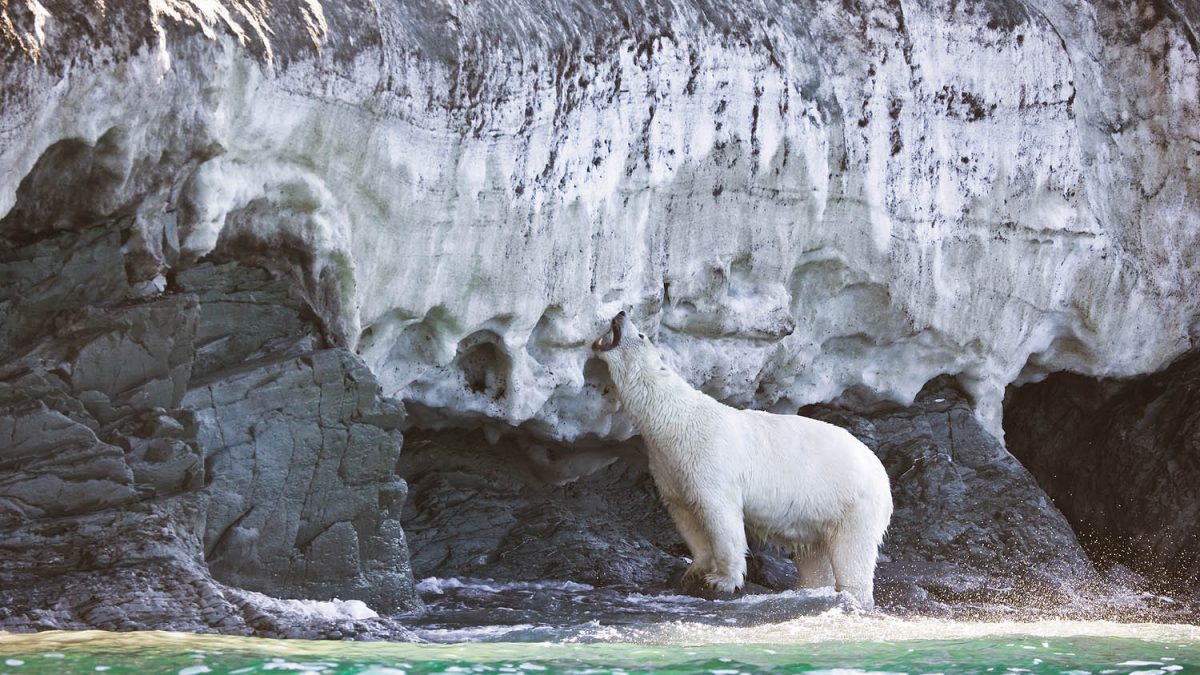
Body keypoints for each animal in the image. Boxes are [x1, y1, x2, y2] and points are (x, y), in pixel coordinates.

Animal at [590, 312, 892, 607]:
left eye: (641, 334)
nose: (620, 313)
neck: (677, 419)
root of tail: (883, 477)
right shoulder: (669, 466)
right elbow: (685, 515)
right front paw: (693, 571)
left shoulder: (709, 457)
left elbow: (720, 515)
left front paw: (722, 580)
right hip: (819, 513)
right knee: (814, 555)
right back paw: (809, 588)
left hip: (853, 503)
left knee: (853, 552)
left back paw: (853, 596)